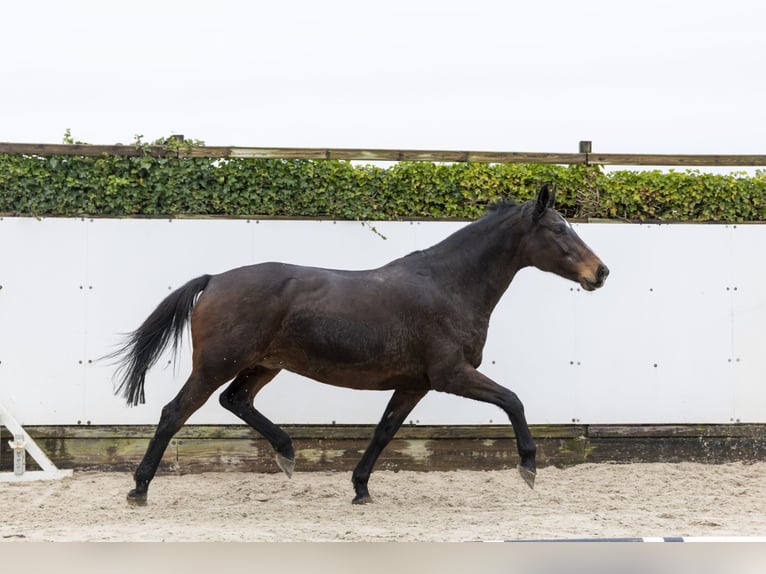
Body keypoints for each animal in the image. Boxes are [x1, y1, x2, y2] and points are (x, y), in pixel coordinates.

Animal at [110, 183, 609, 505]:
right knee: (175, 412)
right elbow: (513, 400)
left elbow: (384, 431)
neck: (448, 285)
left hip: (263, 364)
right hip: (217, 364)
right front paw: (528, 467)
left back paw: (286, 453)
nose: (600, 272)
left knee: (235, 401)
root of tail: (213, 280)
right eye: (558, 230)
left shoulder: (415, 383)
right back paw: (139, 489)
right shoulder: (451, 374)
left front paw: (361, 488)